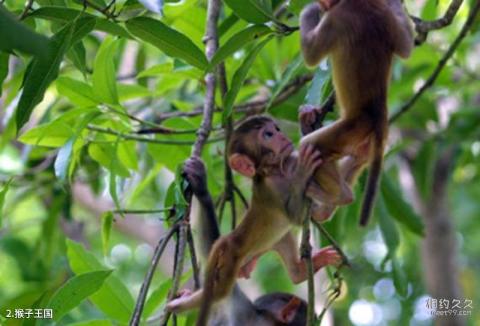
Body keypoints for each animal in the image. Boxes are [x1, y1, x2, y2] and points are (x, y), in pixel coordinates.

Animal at [298, 0, 414, 225]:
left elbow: (311, 54)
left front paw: (310, 9)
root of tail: (379, 117)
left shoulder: (336, 19)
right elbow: (406, 48)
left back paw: (341, 196)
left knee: (311, 145)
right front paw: (395, 3)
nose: (323, 6)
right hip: (364, 142)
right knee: (357, 158)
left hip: (353, 127)